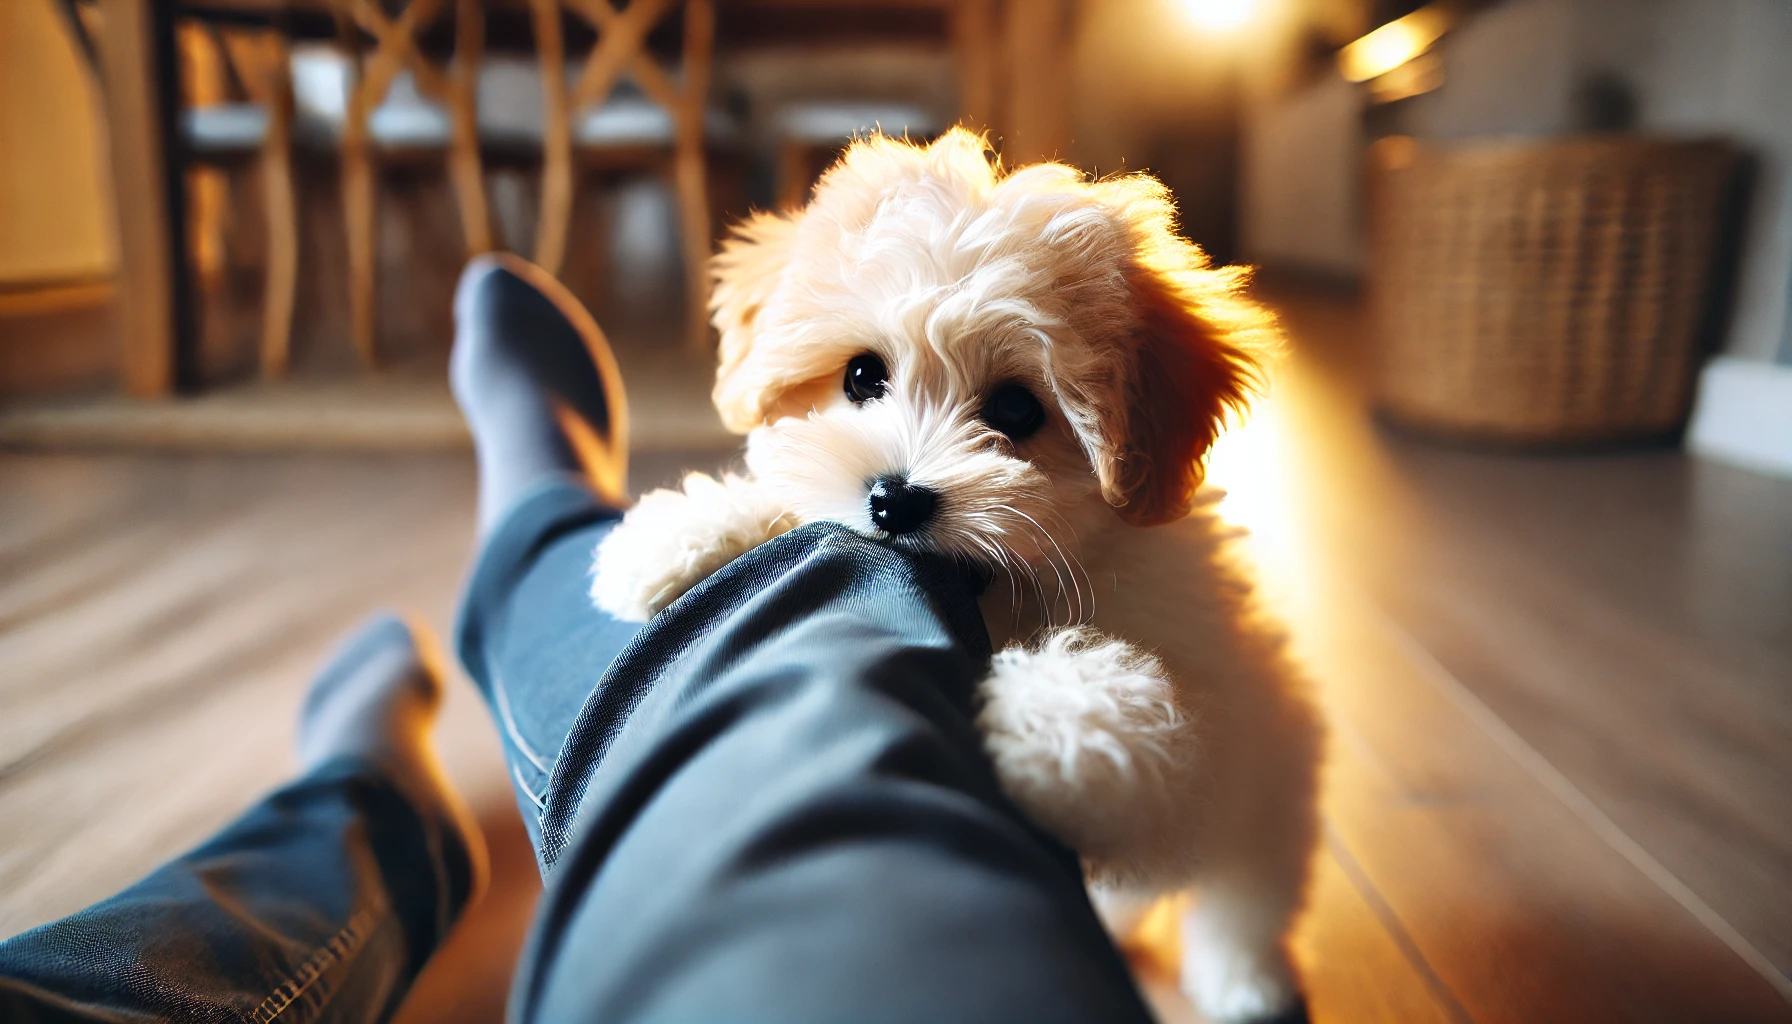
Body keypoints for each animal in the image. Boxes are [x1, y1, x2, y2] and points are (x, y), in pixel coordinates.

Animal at [594, 130, 1326, 1024]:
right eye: (862, 377)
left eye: (1016, 410)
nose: (894, 499)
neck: (1000, 590)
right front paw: (680, 534)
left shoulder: (1210, 719)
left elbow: (1155, 707)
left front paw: (1059, 739)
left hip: (1271, 791)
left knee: (1245, 902)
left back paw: (1246, 984)